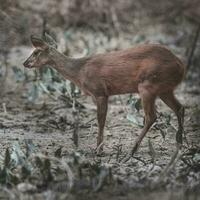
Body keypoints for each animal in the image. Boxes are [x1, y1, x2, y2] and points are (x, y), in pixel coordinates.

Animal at [23, 34, 186, 155]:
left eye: (36, 52)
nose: (25, 63)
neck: (80, 71)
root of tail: (180, 65)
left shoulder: (100, 91)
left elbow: (100, 120)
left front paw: (98, 150)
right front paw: (98, 148)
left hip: (148, 85)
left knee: (151, 116)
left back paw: (133, 150)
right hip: (164, 89)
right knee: (180, 108)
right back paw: (179, 142)